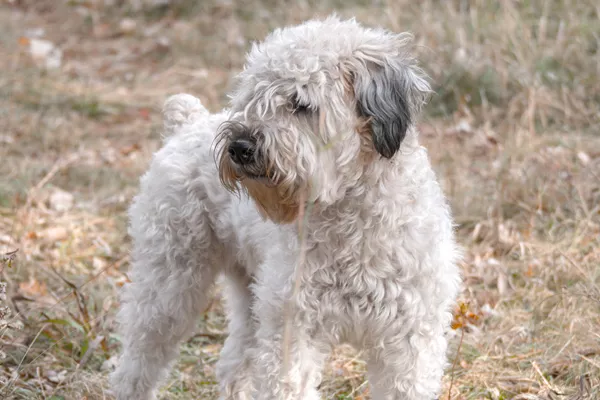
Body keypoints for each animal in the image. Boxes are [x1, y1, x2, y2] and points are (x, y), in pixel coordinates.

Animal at [110, 14, 462, 400]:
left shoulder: (411, 339)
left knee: (234, 362)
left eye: (301, 103)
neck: (352, 221)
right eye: (252, 96)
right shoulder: (292, 331)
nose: (240, 147)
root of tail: (187, 123)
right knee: (138, 361)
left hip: (249, 294)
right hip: (170, 284)